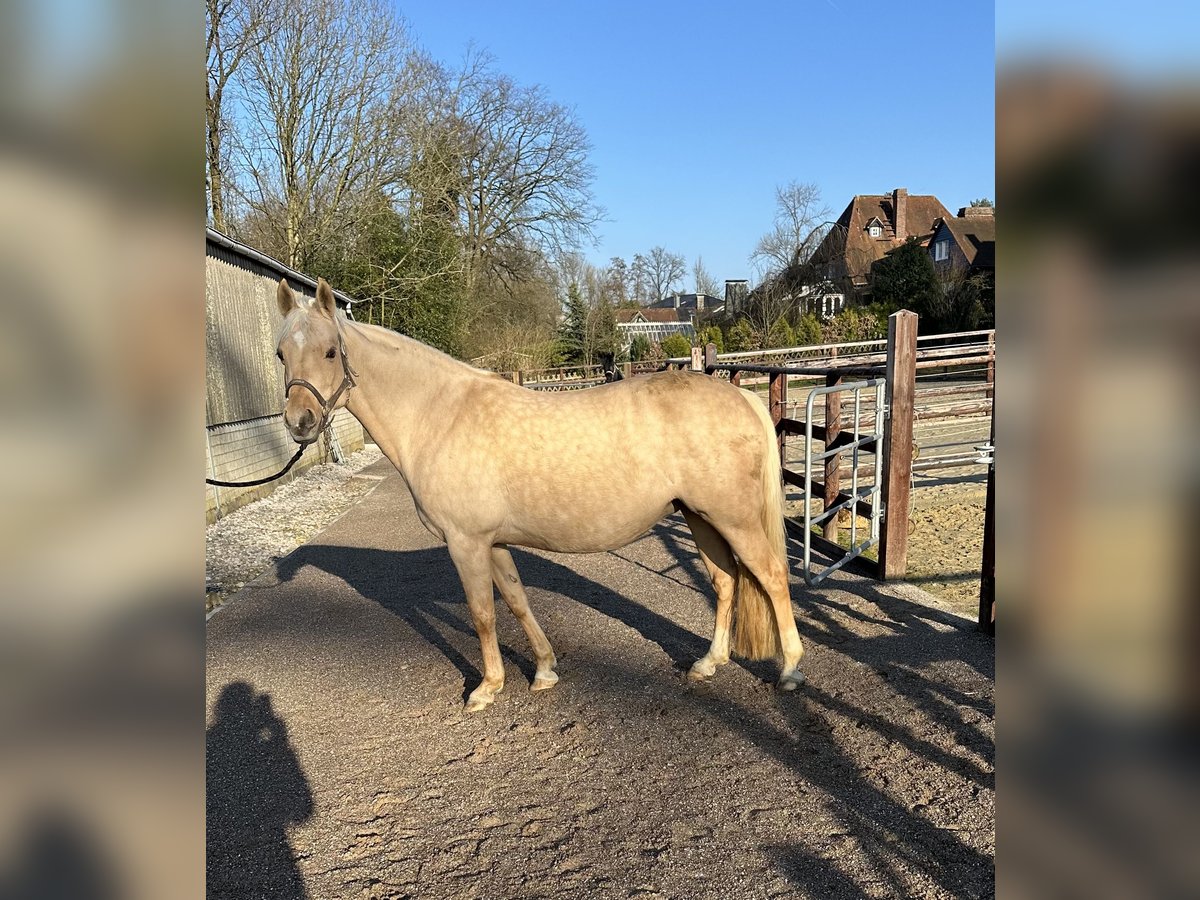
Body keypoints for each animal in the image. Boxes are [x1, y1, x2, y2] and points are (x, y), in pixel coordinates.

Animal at [271, 277, 796, 710]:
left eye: (330, 352)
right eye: (281, 353)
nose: (300, 424)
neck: (438, 415)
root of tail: (741, 397)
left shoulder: (465, 543)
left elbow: (483, 614)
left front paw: (487, 688)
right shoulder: (494, 542)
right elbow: (517, 601)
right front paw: (544, 670)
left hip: (733, 518)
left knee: (771, 576)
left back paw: (789, 671)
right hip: (699, 516)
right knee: (725, 582)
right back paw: (709, 663)